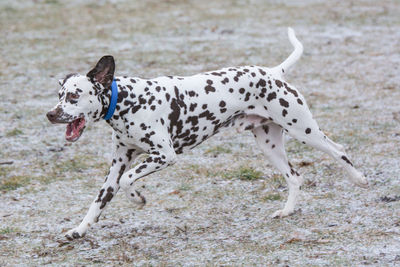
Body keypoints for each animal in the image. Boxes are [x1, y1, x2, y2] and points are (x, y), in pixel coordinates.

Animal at [45, 28, 368, 241]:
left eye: (74, 96)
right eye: (59, 95)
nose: (50, 114)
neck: (128, 100)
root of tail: (274, 72)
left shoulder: (163, 156)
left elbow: (129, 181)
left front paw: (138, 198)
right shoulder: (117, 165)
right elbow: (98, 202)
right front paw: (78, 230)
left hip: (304, 130)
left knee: (338, 149)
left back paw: (359, 179)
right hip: (270, 145)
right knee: (295, 177)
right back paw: (286, 212)